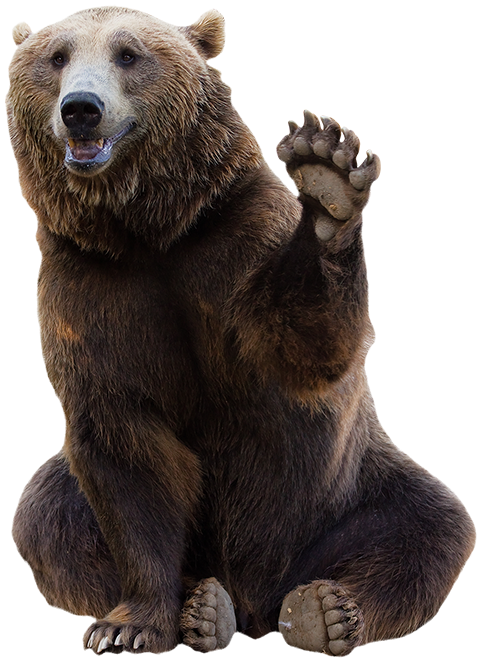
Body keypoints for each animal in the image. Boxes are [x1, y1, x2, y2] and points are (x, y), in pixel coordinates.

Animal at [9, 7, 475, 658]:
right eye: (57, 57)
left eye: (128, 54)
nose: (81, 108)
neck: (149, 229)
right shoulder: (92, 286)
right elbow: (124, 449)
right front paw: (128, 625)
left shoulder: (236, 240)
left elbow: (304, 349)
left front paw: (327, 178)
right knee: (50, 518)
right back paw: (206, 615)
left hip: (347, 497)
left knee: (425, 531)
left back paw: (321, 618)